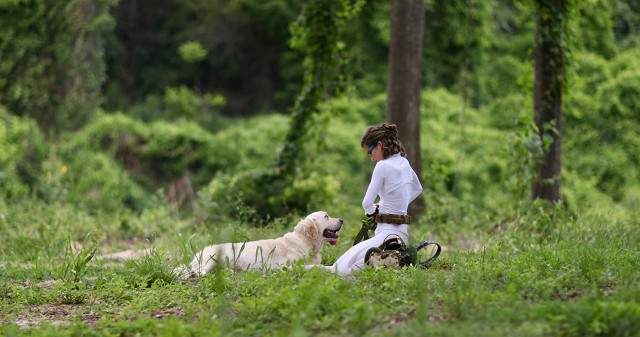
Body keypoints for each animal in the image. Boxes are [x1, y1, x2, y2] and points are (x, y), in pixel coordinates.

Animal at [172, 210, 342, 278]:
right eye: (326, 216)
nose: (342, 220)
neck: (306, 241)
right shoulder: (286, 266)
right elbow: (315, 267)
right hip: (213, 258)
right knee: (196, 272)